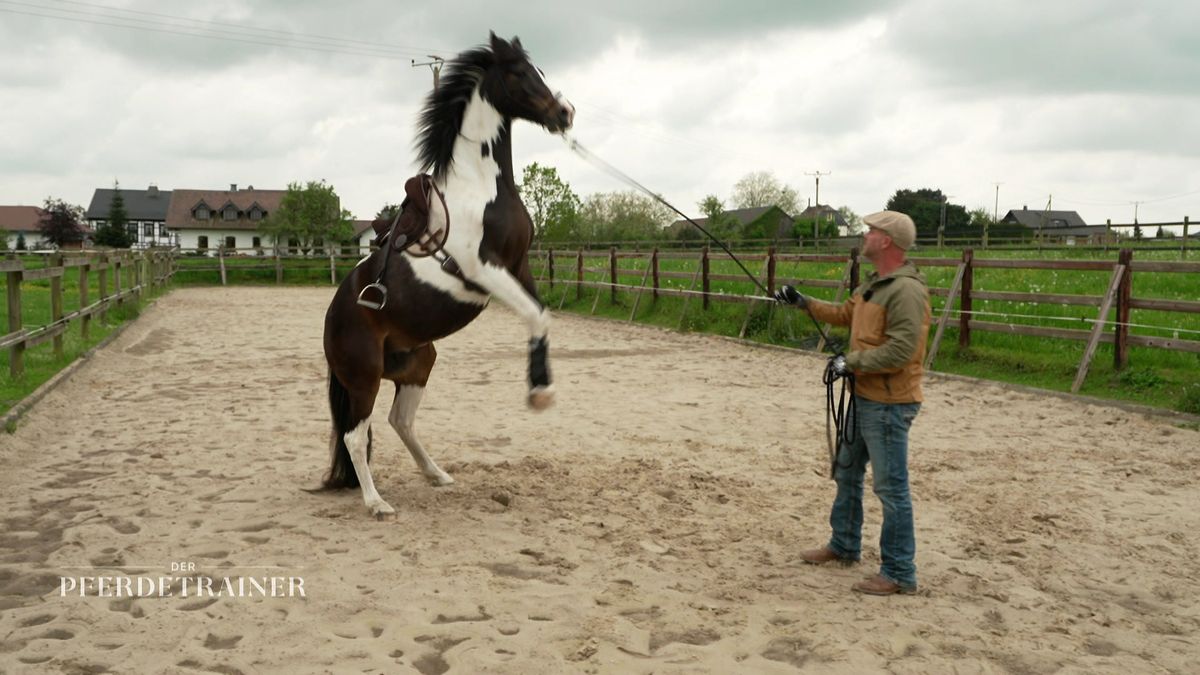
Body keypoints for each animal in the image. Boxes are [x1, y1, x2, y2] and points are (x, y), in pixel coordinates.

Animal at [319, 32, 571, 514]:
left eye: (541, 71)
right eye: (519, 73)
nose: (564, 113)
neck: (482, 187)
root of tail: (333, 317)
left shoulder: (518, 266)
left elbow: (541, 314)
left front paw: (541, 388)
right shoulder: (483, 269)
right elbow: (535, 315)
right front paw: (540, 395)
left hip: (418, 364)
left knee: (400, 421)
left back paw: (437, 474)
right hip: (363, 377)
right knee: (355, 436)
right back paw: (376, 503)